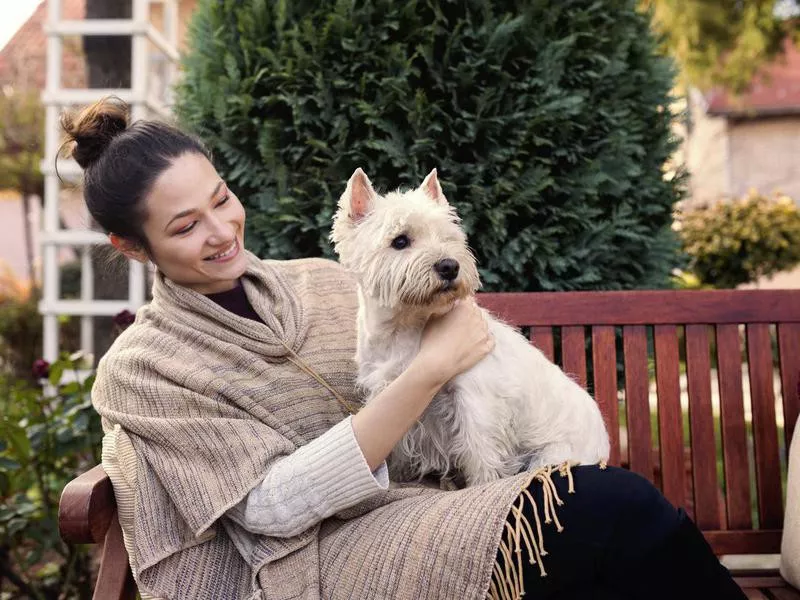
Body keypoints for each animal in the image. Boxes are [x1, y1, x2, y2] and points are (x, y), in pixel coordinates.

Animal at [328, 169, 608, 488]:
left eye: (448, 237)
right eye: (400, 241)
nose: (449, 266)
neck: (404, 328)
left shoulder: (475, 398)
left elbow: (479, 450)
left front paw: (482, 484)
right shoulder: (389, 392)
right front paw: (397, 479)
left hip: (553, 452)